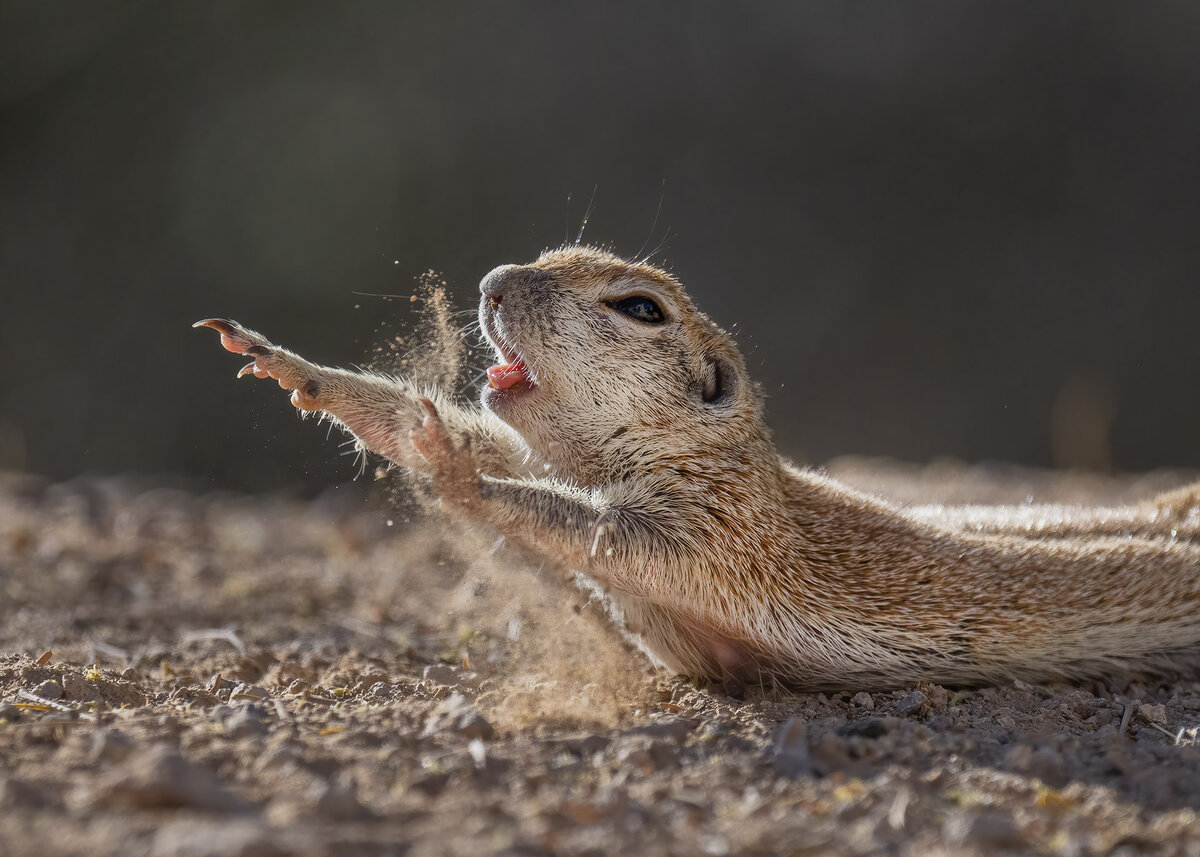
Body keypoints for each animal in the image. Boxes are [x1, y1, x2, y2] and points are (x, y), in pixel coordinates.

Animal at [194, 244, 1200, 686]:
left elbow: (600, 533)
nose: (489, 283)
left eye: (640, 308)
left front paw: (454, 476)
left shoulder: (720, 532)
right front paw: (298, 370)